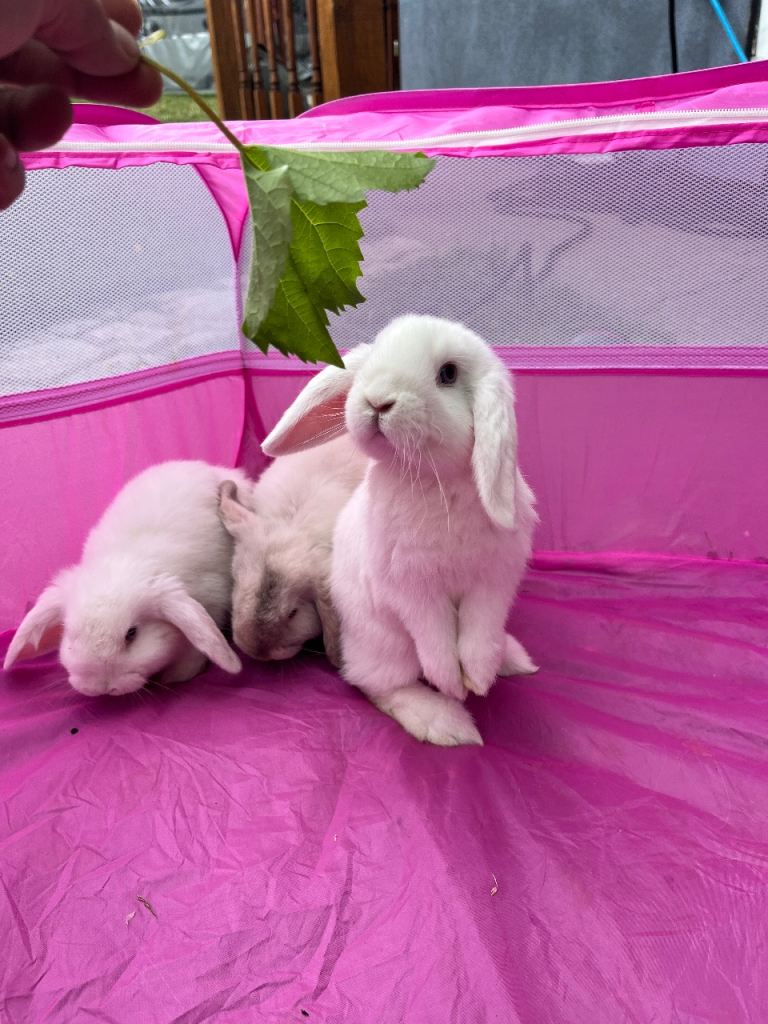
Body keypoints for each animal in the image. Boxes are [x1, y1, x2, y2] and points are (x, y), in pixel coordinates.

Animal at [3, 460, 247, 696]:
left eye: (132, 634)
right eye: (70, 634)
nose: (102, 688)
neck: (126, 559)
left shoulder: (211, 602)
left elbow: (194, 652)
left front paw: (175, 677)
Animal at [261, 315, 538, 747]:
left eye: (448, 374)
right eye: (374, 355)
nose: (377, 400)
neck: (433, 482)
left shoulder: (493, 583)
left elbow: (479, 634)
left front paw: (478, 678)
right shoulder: (411, 590)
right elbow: (434, 638)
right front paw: (452, 685)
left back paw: (508, 659)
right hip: (385, 645)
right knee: (379, 685)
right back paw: (444, 721)